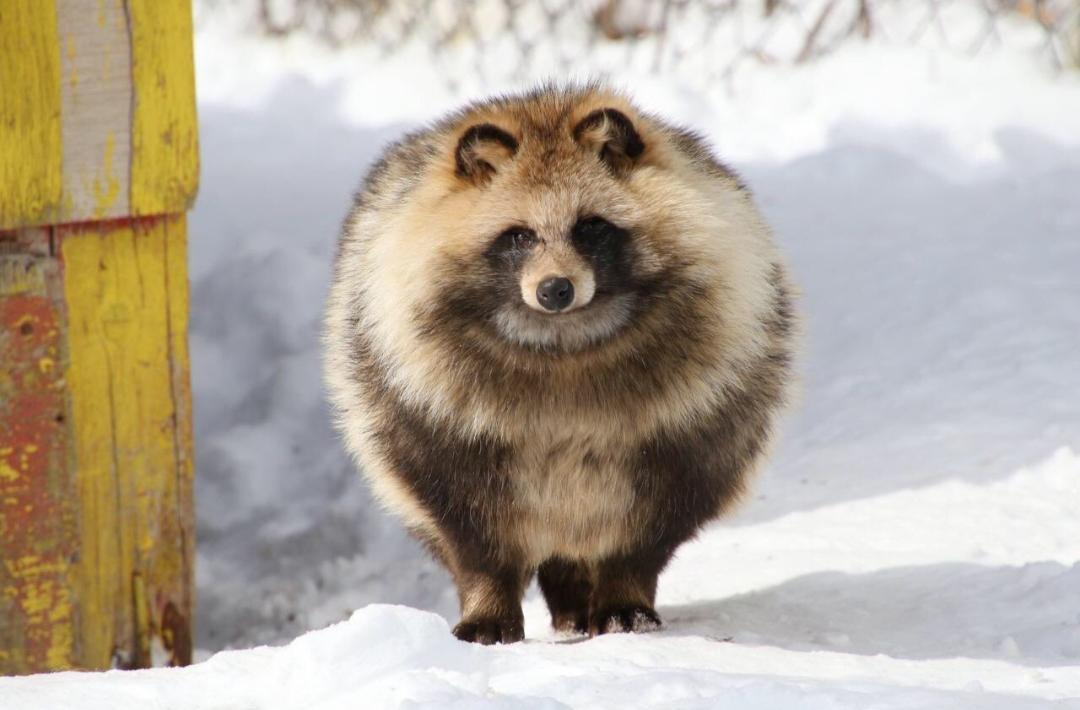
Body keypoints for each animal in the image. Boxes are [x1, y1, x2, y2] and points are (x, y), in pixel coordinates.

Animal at [323, 84, 796, 644]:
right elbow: (473, 533)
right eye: (519, 235)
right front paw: (488, 602)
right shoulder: (432, 420)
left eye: (591, 227)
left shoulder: (693, 422)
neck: (564, 344)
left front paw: (622, 592)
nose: (555, 289)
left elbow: (646, 528)